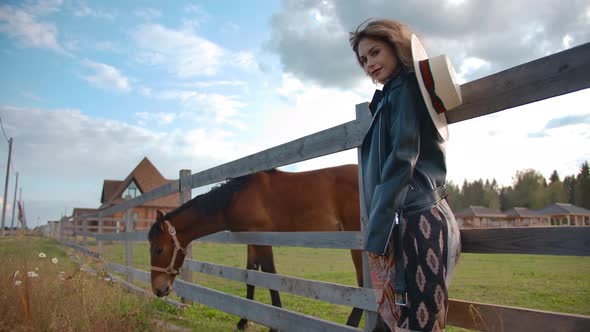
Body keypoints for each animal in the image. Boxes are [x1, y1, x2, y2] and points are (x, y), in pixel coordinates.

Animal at [149, 163, 366, 330]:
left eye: (159, 249)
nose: (158, 290)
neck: (236, 197)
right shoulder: (251, 240)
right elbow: (251, 275)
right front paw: (243, 321)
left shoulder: (262, 239)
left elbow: (270, 276)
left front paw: (274, 325)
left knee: (364, 285)